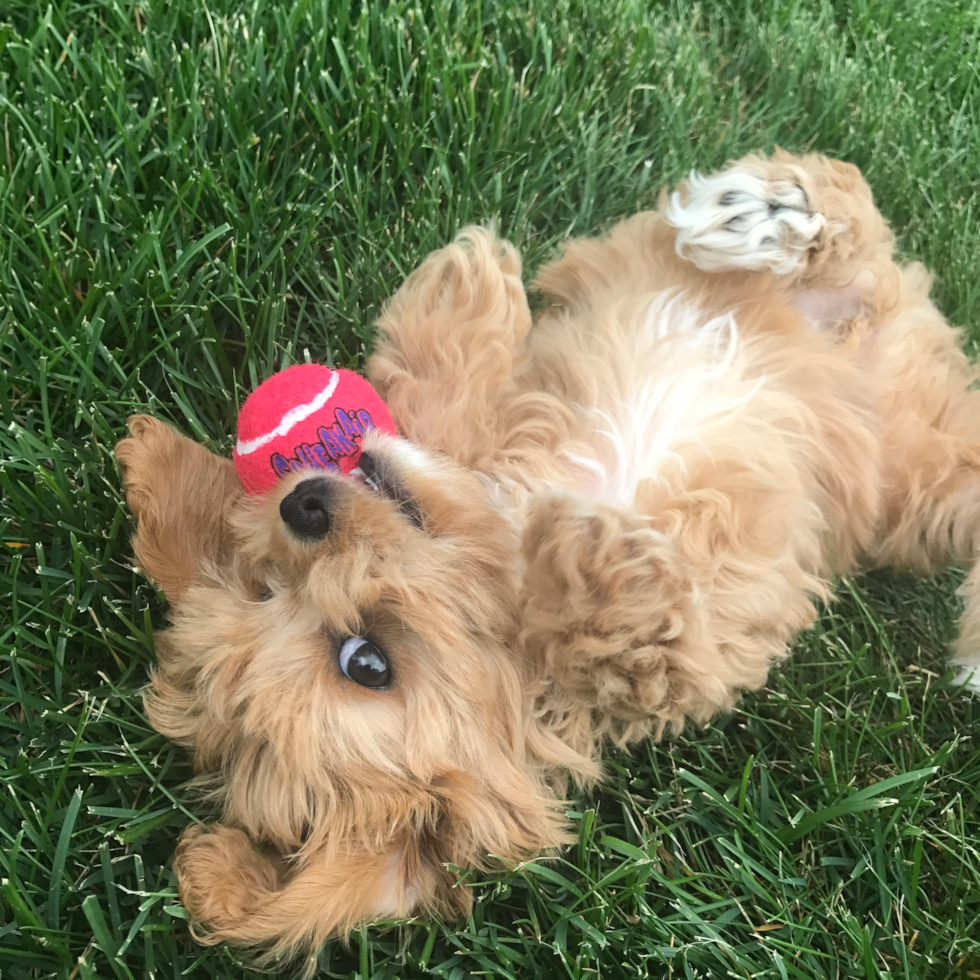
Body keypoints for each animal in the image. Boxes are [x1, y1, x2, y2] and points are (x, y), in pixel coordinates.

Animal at [117, 151, 980, 964]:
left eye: (265, 587)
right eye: (366, 665)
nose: (303, 507)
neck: (504, 522)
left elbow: (438, 408)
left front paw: (463, 295)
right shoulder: (691, 659)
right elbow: (641, 645)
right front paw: (586, 553)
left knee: (842, 198)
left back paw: (760, 213)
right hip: (915, 489)